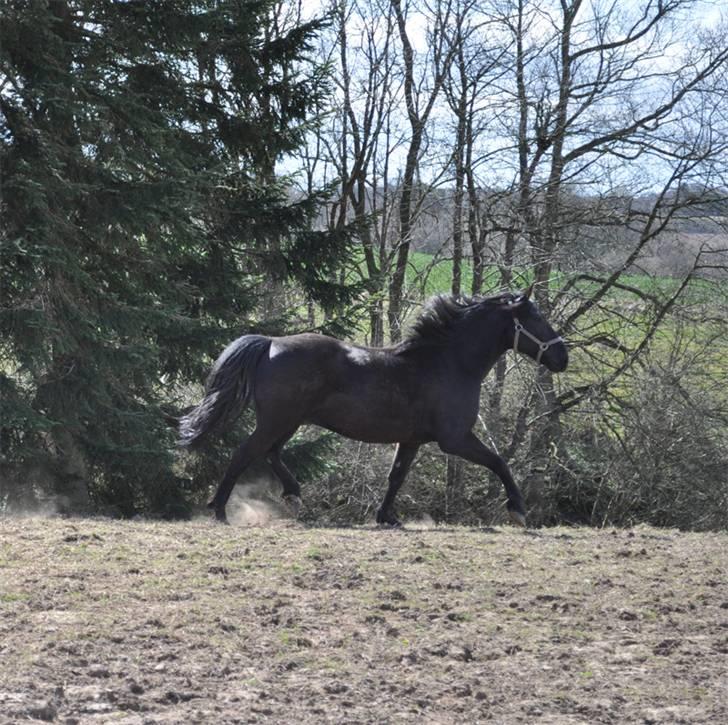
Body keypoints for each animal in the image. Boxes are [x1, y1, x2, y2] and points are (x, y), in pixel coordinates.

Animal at [179, 288, 564, 528]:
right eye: (535, 318)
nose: (563, 356)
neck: (449, 363)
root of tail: (271, 342)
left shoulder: (412, 440)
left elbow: (397, 476)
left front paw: (387, 517)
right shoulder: (455, 439)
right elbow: (499, 462)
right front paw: (518, 511)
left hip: (287, 421)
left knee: (269, 453)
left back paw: (294, 496)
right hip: (278, 420)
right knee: (245, 453)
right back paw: (220, 510)